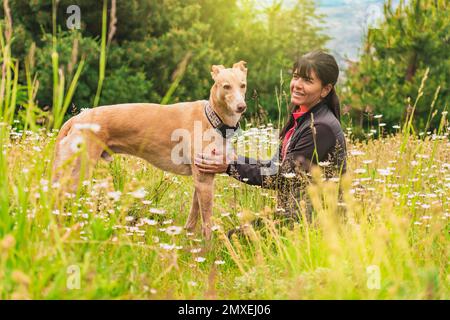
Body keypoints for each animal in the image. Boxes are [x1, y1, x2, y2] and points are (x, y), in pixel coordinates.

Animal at [53, 61, 250, 239]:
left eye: (243, 85)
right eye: (226, 86)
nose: (241, 107)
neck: (212, 118)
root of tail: (76, 119)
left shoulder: (202, 177)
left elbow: (193, 218)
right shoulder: (204, 181)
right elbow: (207, 224)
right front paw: (207, 251)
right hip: (77, 173)